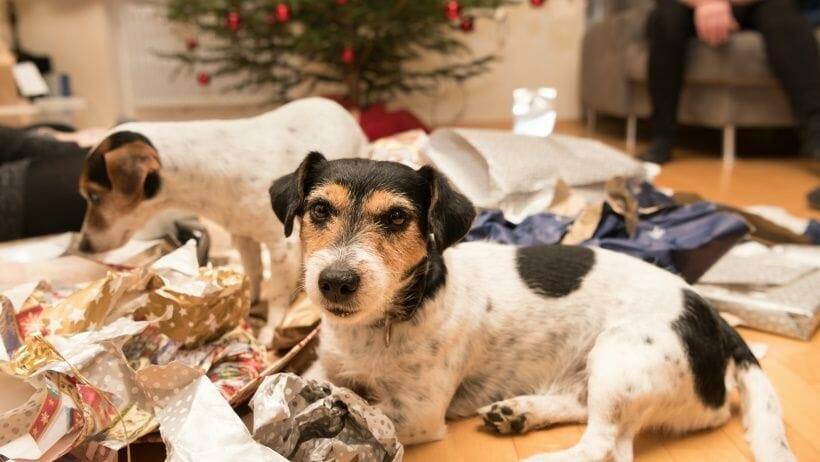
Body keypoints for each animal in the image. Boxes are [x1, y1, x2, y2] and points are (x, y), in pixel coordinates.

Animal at [76, 97, 366, 342]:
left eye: (95, 196)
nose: (82, 247)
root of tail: (337, 105)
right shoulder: (243, 236)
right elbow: (254, 273)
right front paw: (250, 303)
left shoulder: (280, 246)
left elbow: (277, 293)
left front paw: (271, 328)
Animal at [270, 153, 796, 462]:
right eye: (319, 210)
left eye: (397, 217)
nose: (335, 282)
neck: (385, 320)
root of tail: (717, 320)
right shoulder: (323, 362)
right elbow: (323, 378)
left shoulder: (417, 413)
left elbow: (359, 405)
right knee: (586, 413)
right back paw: (519, 413)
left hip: (623, 356)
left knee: (605, 447)